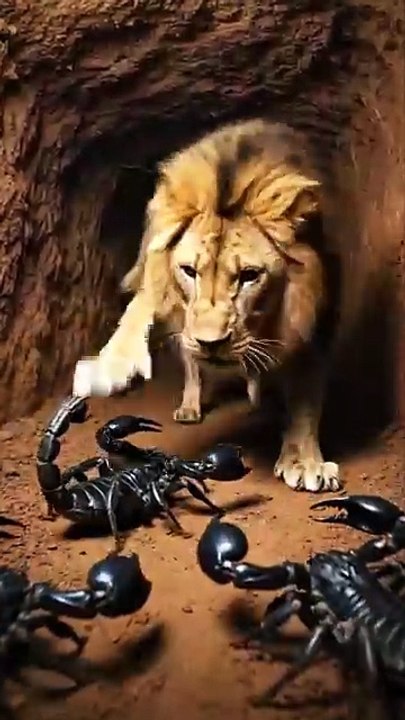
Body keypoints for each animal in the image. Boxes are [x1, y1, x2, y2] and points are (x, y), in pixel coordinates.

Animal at [73, 118, 341, 493]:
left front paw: (304, 461)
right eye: (189, 271)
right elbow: (141, 304)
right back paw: (191, 404)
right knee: (190, 361)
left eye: (249, 275)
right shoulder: (161, 276)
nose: (210, 342)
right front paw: (109, 366)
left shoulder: (317, 319)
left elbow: (306, 395)